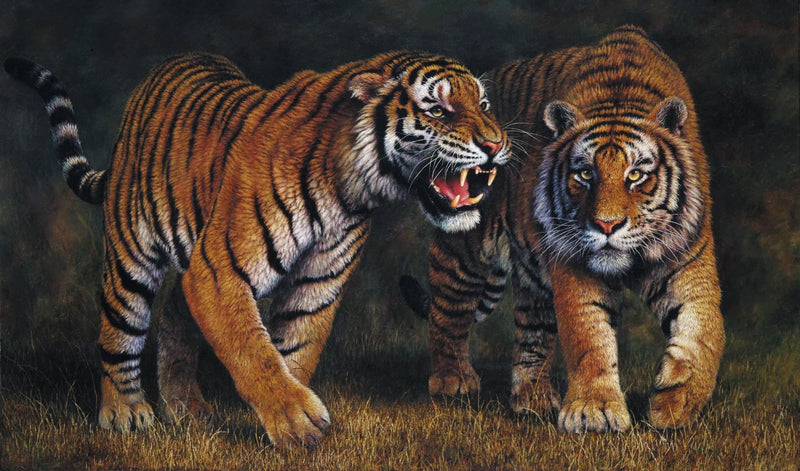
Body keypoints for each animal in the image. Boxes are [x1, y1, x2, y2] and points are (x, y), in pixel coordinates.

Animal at [5, 51, 510, 447]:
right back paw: (127, 412)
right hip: (132, 253)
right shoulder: (219, 271)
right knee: (119, 331)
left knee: (175, 315)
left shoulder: (318, 280)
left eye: (484, 104)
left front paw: (290, 421)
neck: (354, 187)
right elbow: (253, 349)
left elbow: (297, 348)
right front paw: (297, 419)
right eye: (438, 110)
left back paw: (187, 408)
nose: (497, 143)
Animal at [399, 25, 725, 432]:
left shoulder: (687, 260)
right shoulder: (573, 263)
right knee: (449, 308)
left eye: (635, 175)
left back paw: (533, 399)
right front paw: (594, 411)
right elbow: (589, 335)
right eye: (585, 174)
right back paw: (452, 380)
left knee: (532, 333)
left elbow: (703, 330)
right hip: (465, 248)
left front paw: (675, 403)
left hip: (533, 279)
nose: (606, 225)